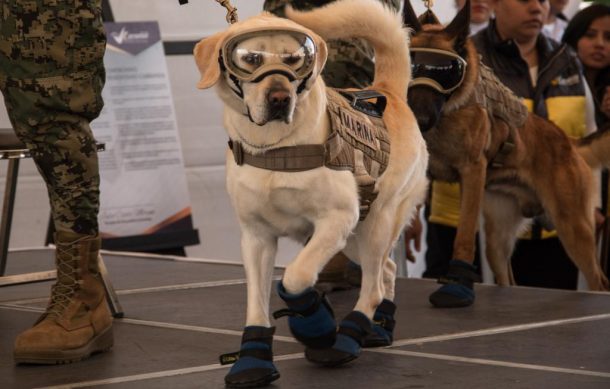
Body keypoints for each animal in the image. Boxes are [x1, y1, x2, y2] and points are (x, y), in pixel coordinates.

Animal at [192, 0, 426, 384]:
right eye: (251, 58)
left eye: (293, 59)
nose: (279, 98)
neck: (275, 146)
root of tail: (388, 91)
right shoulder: (256, 237)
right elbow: (256, 303)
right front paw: (253, 359)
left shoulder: (336, 220)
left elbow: (296, 275)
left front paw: (315, 324)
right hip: (355, 239)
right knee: (388, 270)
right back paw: (379, 328)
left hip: (374, 224)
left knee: (374, 285)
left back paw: (347, 337)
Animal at [404, 0, 608, 306]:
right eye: (412, 67)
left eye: (447, 70)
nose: (419, 120)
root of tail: (569, 142)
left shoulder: (472, 173)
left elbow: (464, 235)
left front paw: (456, 284)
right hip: (498, 240)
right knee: (508, 279)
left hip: (574, 230)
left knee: (599, 281)